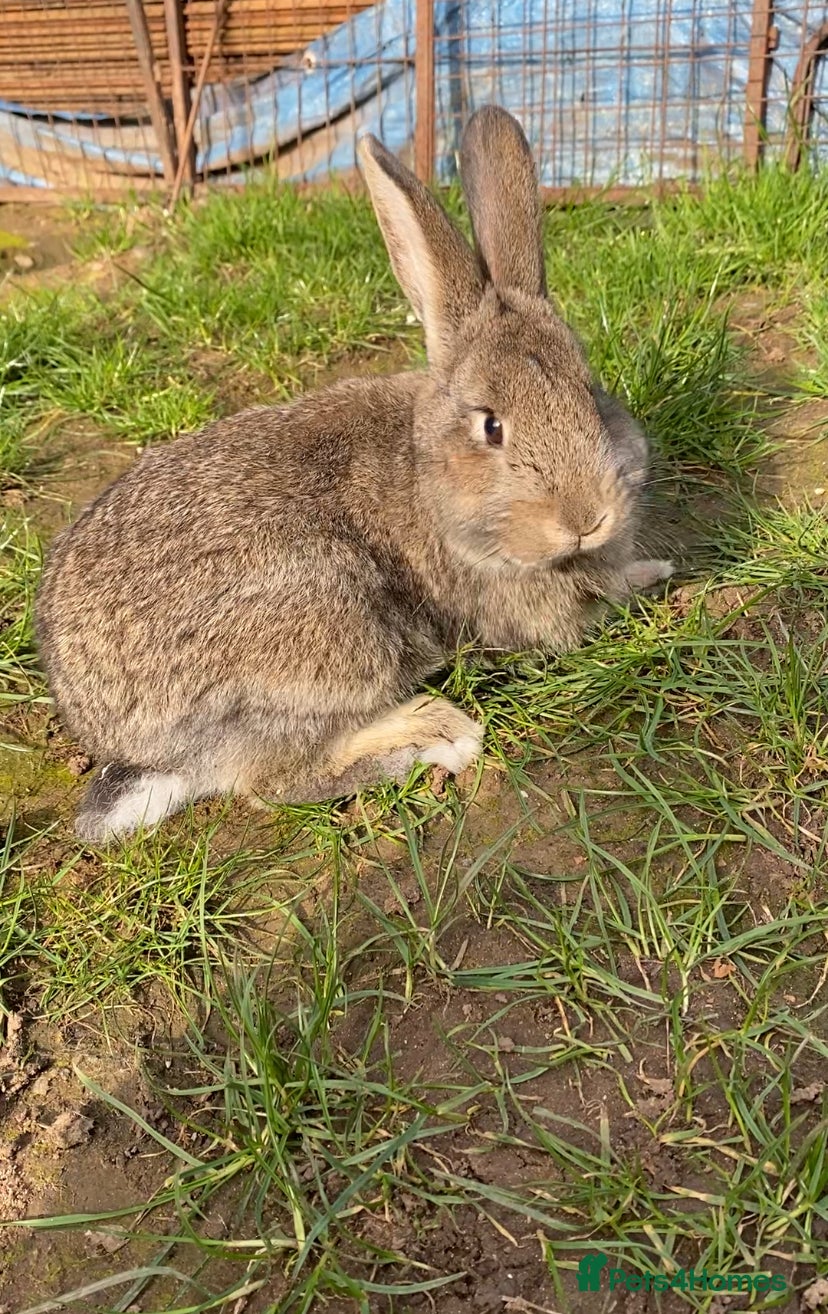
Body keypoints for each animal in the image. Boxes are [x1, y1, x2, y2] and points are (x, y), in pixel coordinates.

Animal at [35, 105, 673, 843]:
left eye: (591, 393)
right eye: (491, 426)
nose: (585, 519)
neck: (424, 479)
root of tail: (131, 747)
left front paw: (652, 566)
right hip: (329, 633)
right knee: (277, 781)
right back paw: (438, 732)